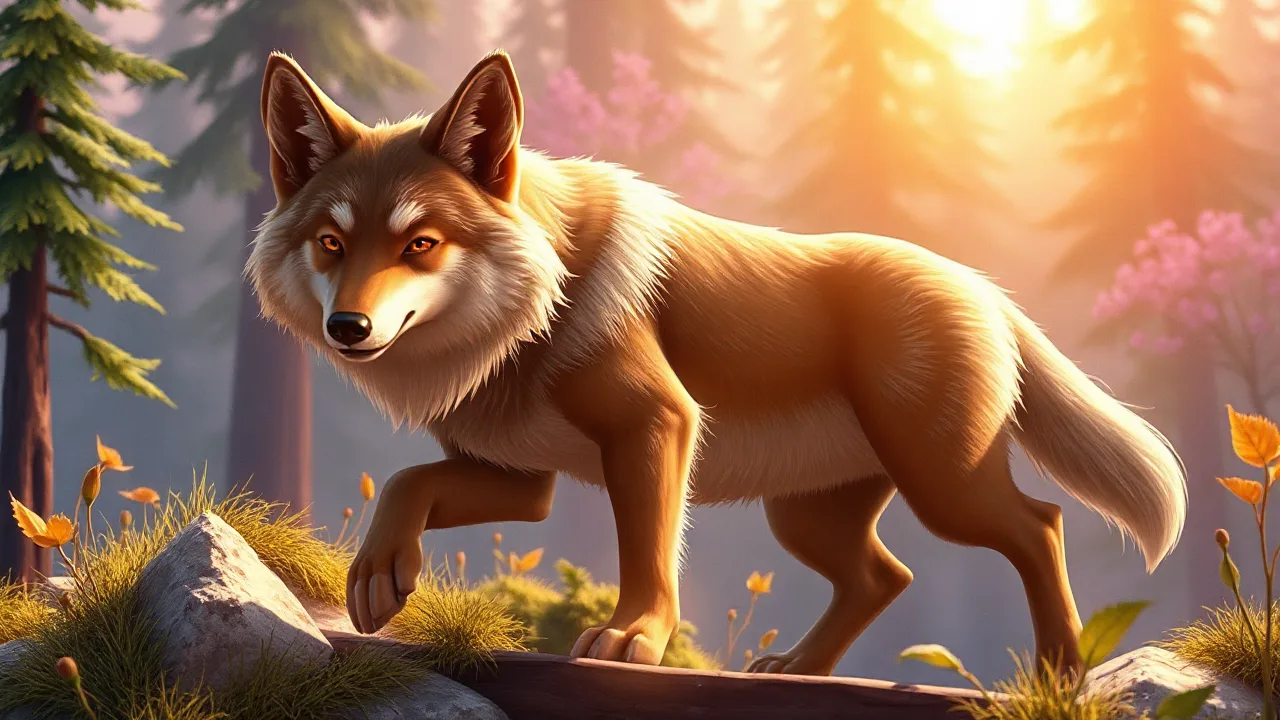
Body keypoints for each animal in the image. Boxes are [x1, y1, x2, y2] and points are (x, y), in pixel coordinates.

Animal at [248, 49, 1186, 676]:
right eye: (332, 243)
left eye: (421, 243)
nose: (348, 326)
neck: (530, 314)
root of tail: (984, 287)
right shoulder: (521, 479)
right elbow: (407, 482)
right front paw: (377, 579)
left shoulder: (655, 428)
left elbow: (648, 556)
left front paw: (633, 639)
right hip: (805, 517)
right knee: (885, 576)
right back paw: (798, 671)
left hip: (944, 487)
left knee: (1039, 525)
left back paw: (1061, 673)